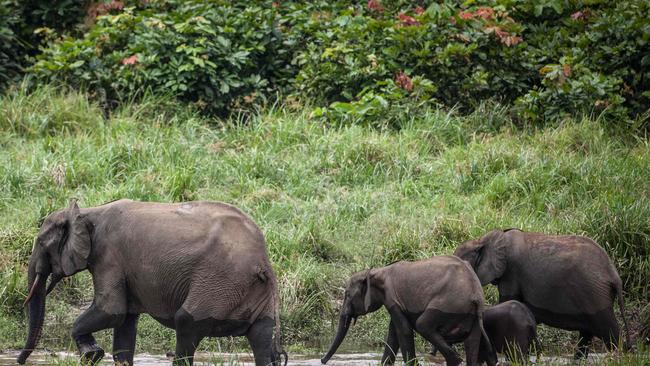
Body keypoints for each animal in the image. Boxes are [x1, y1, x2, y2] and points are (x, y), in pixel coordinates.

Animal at [17, 200, 284, 366]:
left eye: (41, 243)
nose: (20, 361)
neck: (87, 212)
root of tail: (262, 261)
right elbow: (124, 326)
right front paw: (94, 354)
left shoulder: (109, 256)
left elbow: (111, 311)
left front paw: (91, 354)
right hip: (252, 291)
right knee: (261, 337)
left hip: (219, 283)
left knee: (186, 323)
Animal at [320, 254, 496, 366]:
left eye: (347, 295)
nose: (321, 361)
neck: (377, 271)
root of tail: (476, 294)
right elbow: (393, 336)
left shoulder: (392, 297)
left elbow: (403, 330)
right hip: (473, 314)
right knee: (472, 343)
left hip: (449, 304)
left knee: (423, 325)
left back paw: (455, 360)